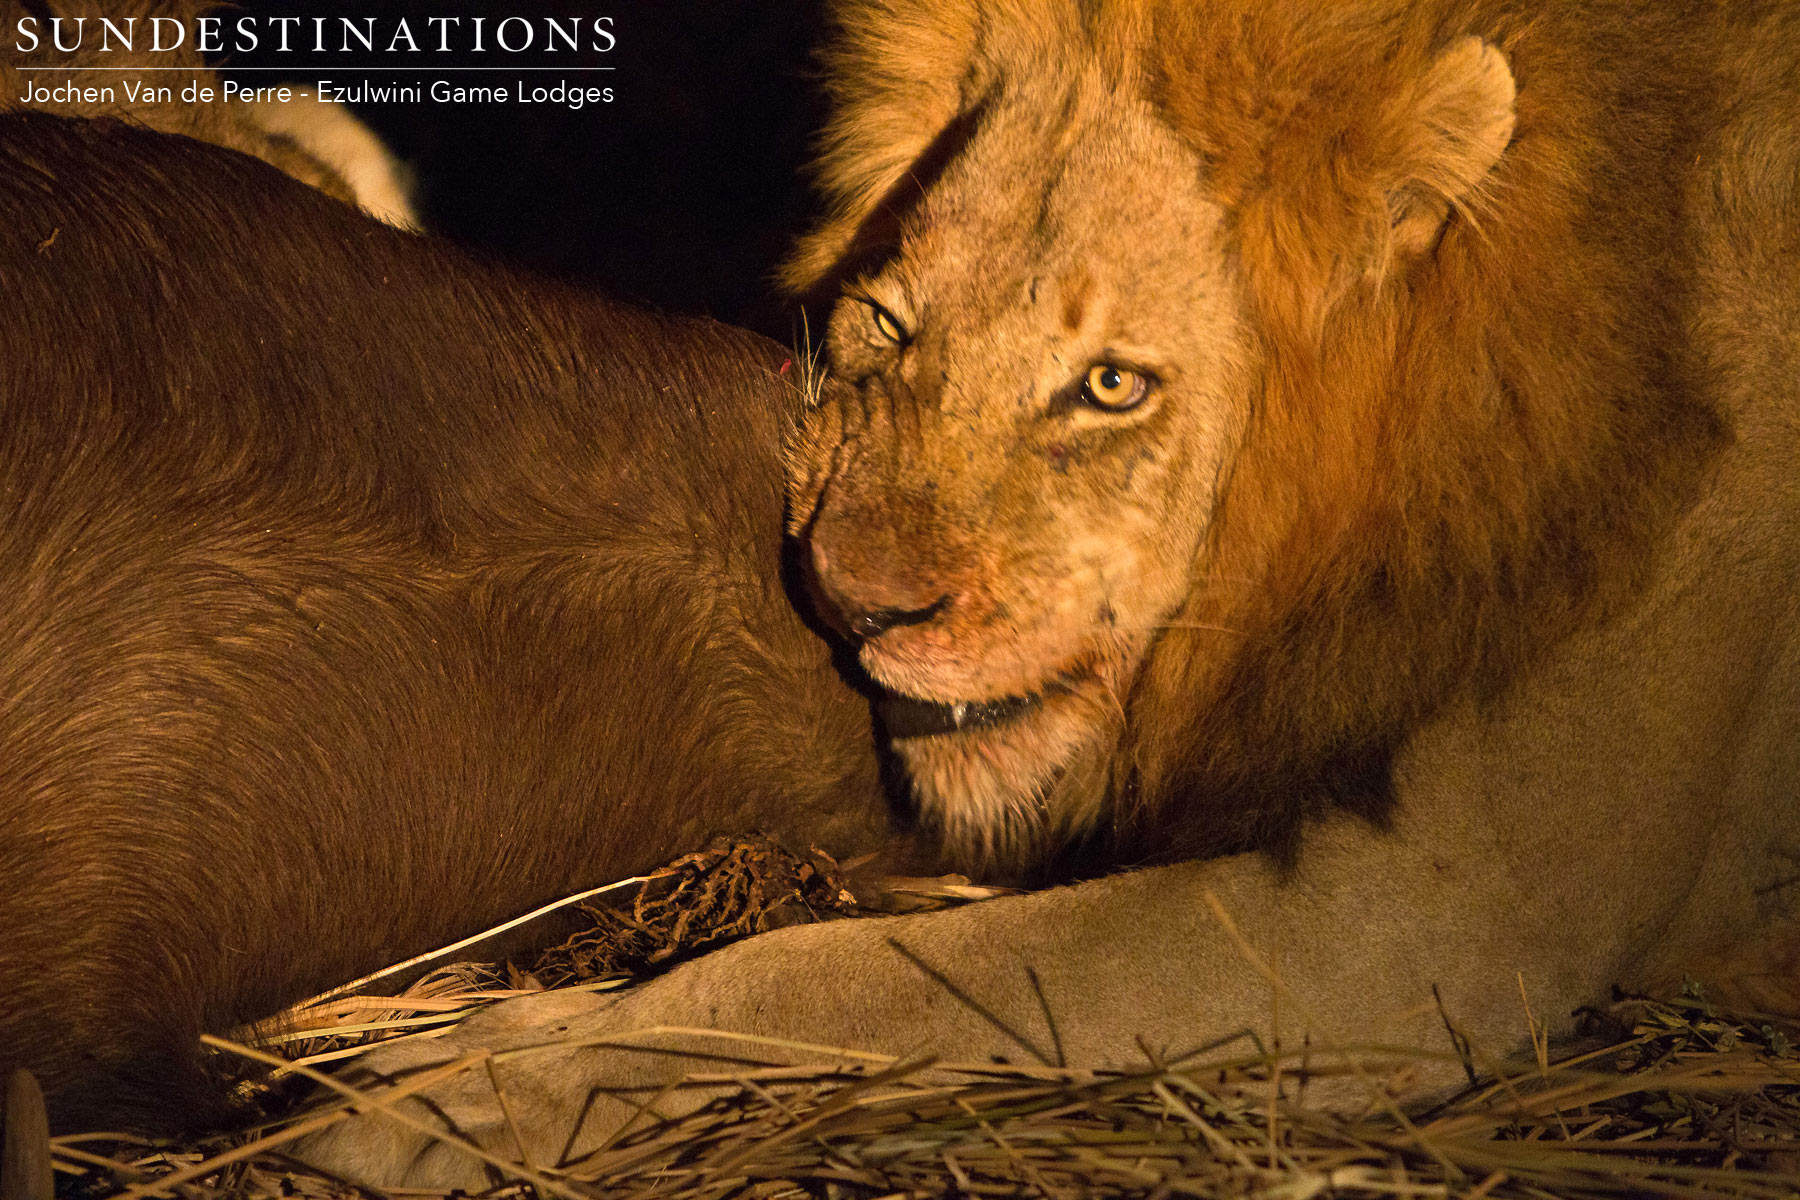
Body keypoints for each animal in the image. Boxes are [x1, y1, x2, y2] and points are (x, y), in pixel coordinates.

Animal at [298, 1, 1800, 1185]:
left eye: (1112, 385)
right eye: (889, 325)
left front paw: (477, 1091)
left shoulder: (1445, 915)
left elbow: (854, 978)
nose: (852, 604)